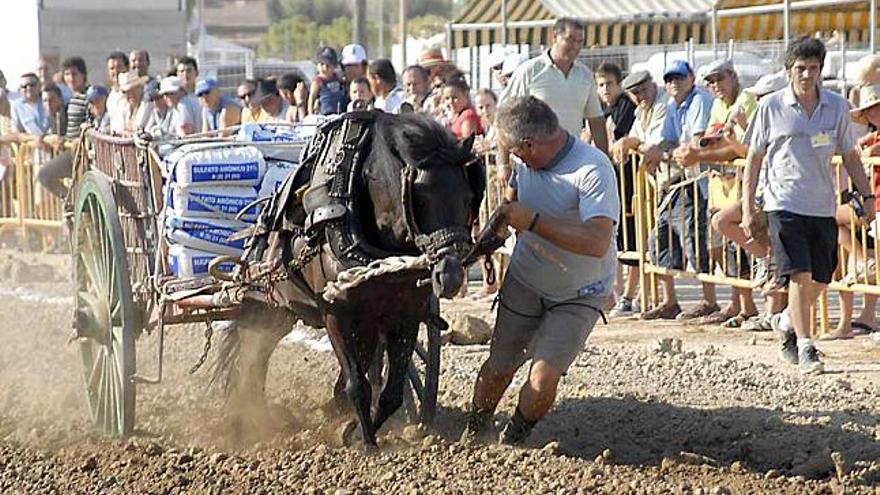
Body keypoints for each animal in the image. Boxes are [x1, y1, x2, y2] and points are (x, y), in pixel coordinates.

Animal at [214, 111, 488, 450]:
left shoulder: (404, 315)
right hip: (264, 306)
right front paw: (368, 445)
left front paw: (352, 430)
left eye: (468, 198)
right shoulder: (336, 313)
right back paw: (249, 417)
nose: (449, 275)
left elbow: (391, 392)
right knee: (253, 357)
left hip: (297, 315)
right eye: (420, 199)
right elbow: (357, 384)